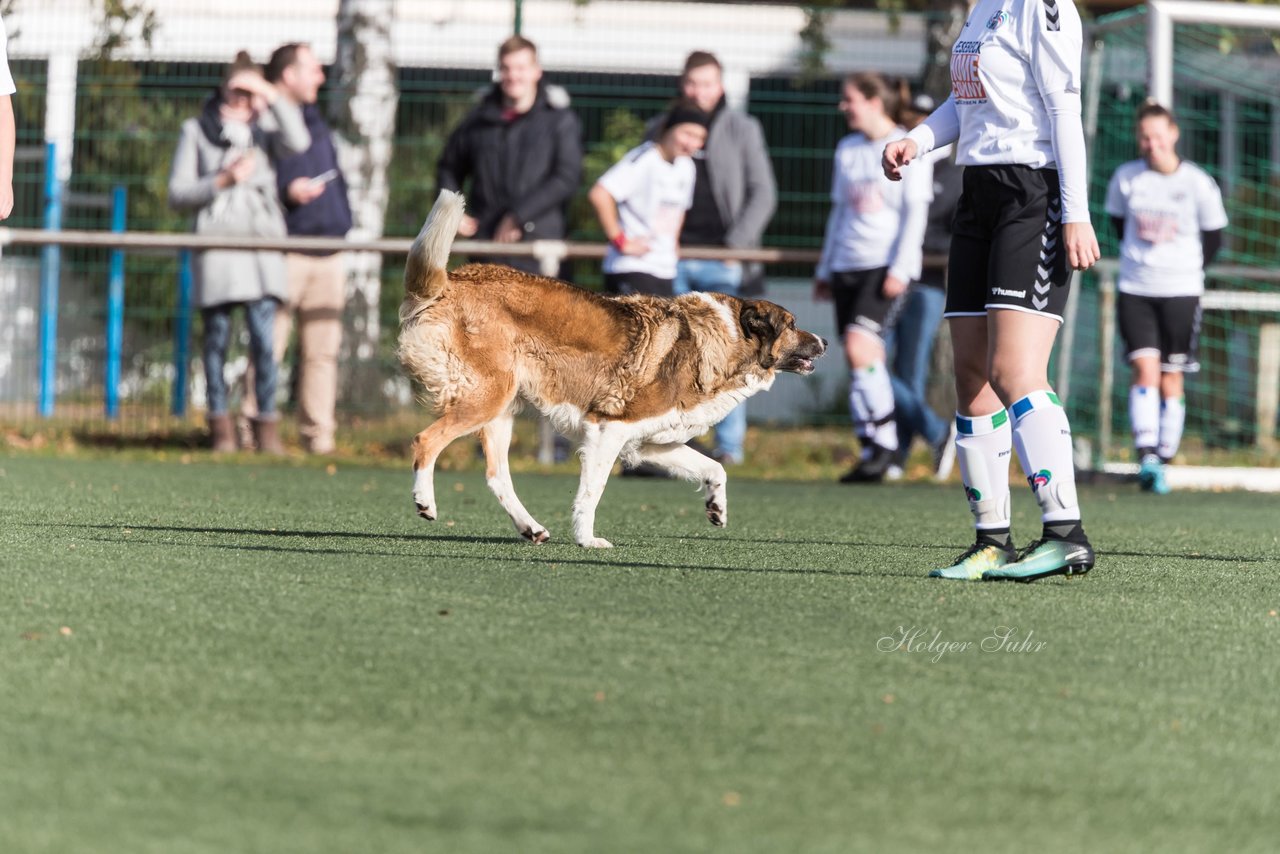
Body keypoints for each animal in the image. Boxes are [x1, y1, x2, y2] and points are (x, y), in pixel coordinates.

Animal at [394, 190, 824, 547]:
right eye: (791, 325)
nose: (824, 342)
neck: (723, 338)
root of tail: (447, 283)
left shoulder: (650, 443)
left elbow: (714, 467)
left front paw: (716, 508)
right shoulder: (608, 430)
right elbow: (592, 493)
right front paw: (587, 540)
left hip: (501, 409)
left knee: (496, 475)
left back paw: (531, 528)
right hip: (487, 398)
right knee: (424, 441)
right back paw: (425, 502)